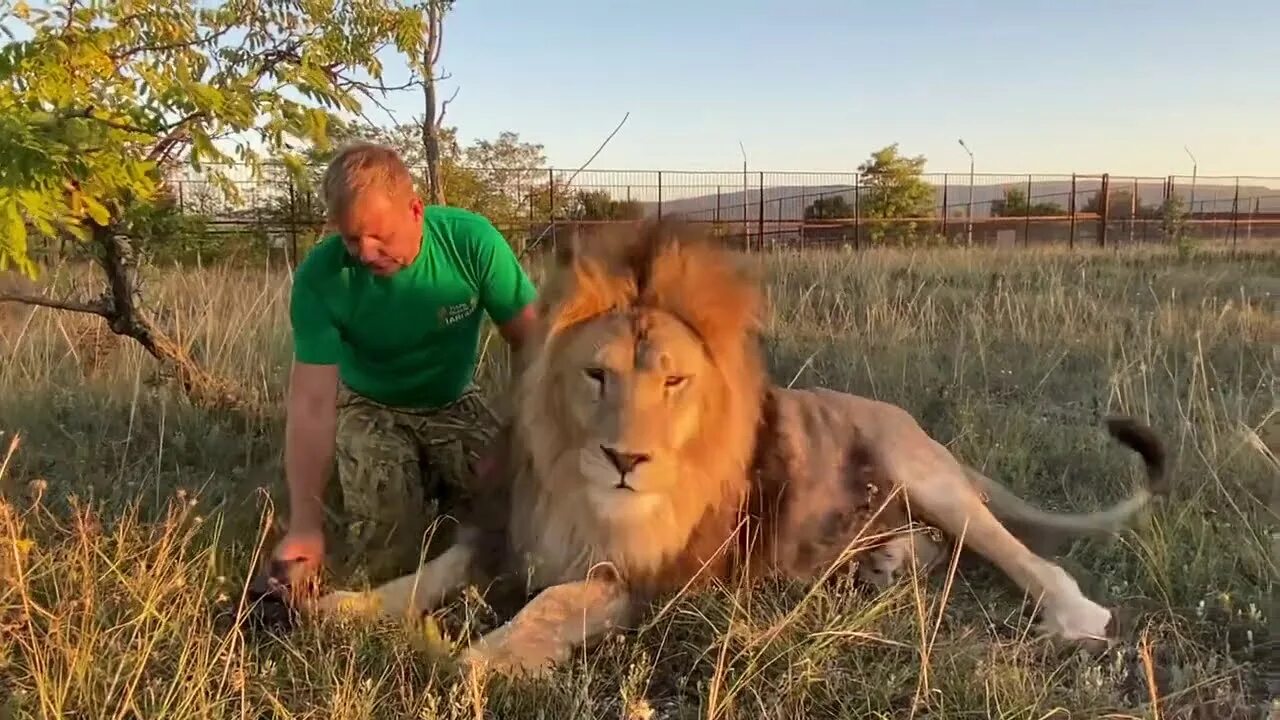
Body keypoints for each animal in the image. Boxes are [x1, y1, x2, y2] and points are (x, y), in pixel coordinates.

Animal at [309, 215, 1172, 676]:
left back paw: (1073, 615)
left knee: (1023, 556)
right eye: (596, 375)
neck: (576, 487)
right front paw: (346, 607)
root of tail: (929, 435)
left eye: (674, 381)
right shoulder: (508, 530)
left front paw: (467, 659)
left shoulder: (649, 581)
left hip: (922, 475)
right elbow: (428, 571)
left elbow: (548, 605)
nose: (625, 461)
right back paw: (883, 564)